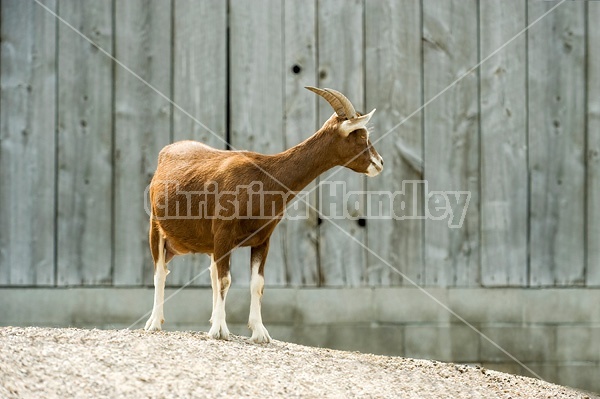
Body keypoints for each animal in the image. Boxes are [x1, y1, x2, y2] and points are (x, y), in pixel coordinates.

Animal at [143, 87, 382, 344]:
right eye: (360, 137)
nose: (379, 163)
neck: (263, 175)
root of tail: (167, 151)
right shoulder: (224, 234)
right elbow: (226, 280)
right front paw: (219, 330)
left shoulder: (262, 239)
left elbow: (256, 284)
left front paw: (259, 333)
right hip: (156, 227)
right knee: (160, 273)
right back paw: (154, 323)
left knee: (211, 274)